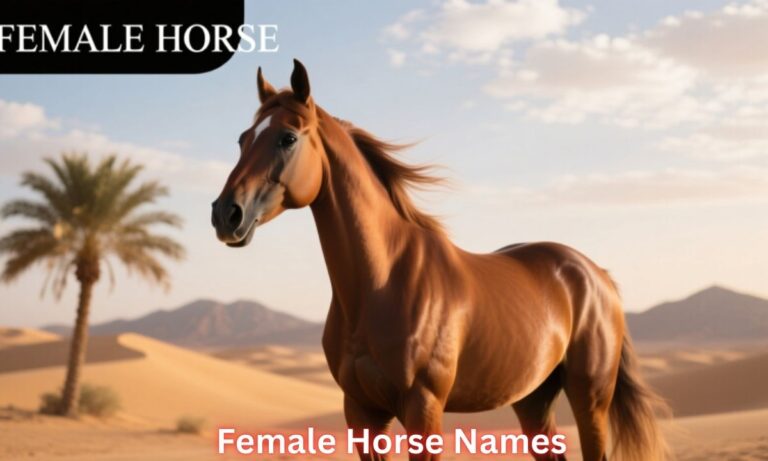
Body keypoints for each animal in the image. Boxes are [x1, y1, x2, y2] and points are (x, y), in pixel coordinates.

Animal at [211, 60, 669, 461]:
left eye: (287, 137)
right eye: (242, 139)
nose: (225, 214)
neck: (381, 284)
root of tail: (597, 275)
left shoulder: (423, 409)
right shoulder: (362, 413)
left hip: (590, 398)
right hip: (532, 400)